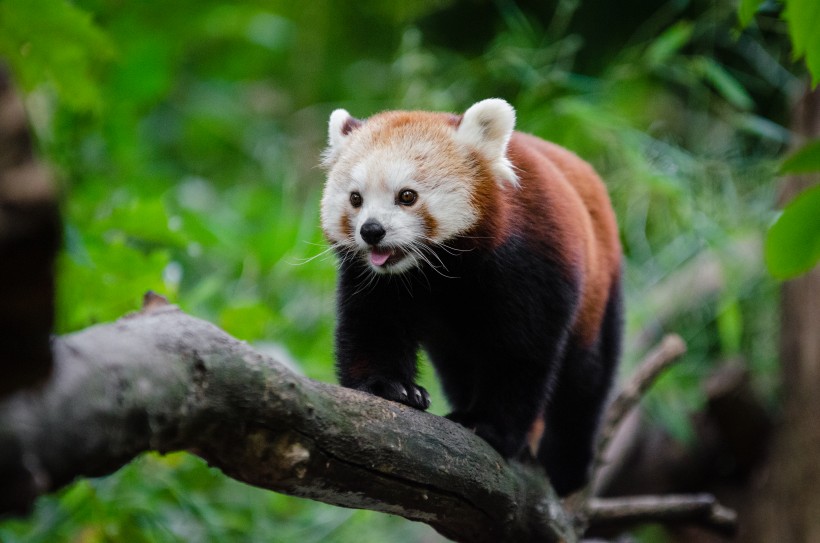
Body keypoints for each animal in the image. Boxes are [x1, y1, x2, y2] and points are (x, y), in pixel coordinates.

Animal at [318, 99, 620, 498]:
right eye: (356, 198)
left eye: (407, 196)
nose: (371, 231)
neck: (438, 274)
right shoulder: (378, 282)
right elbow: (373, 325)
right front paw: (391, 387)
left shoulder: (531, 264)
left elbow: (522, 354)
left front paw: (490, 426)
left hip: (601, 288)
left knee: (587, 379)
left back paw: (567, 465)